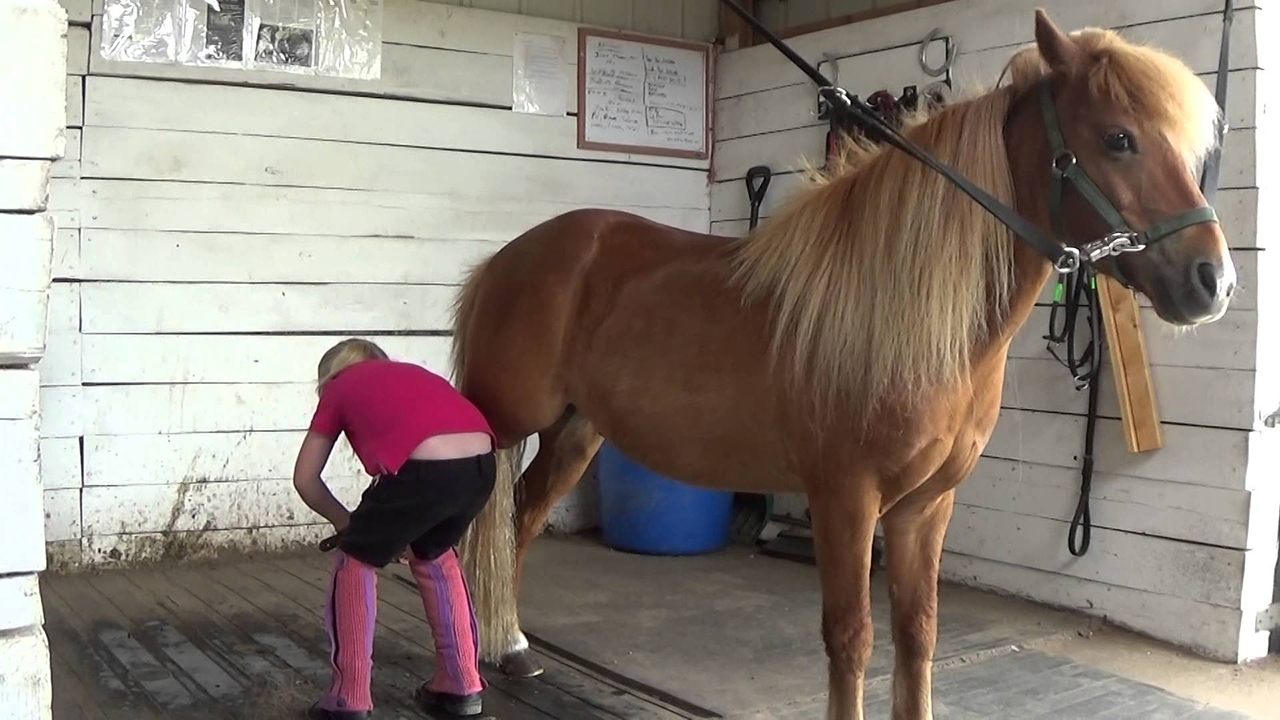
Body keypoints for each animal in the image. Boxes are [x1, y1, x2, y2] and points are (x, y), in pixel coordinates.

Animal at [450, 11, 1235, 720]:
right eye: (1118, 138)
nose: (1214, 283)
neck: (917, 323)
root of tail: (507, 258)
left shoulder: (926, 506)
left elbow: (917, 635)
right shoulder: (845, 498)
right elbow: (852, 637)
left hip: (576, 434)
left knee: (521, 520)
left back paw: (511, 649)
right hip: (498, 424)